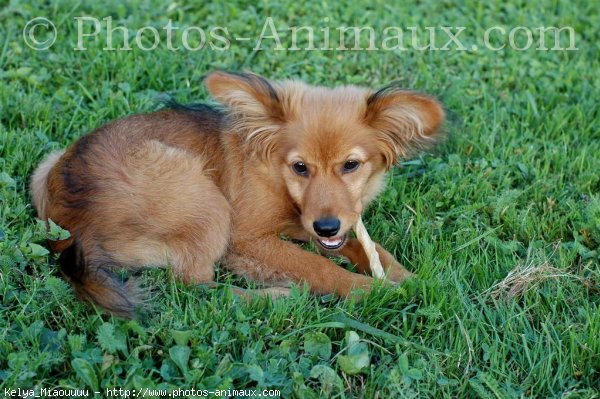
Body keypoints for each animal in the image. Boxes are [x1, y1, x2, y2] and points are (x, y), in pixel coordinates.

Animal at [31, 70, 446, 318]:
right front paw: (373, 291)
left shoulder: (316, 223)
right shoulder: (246, 239)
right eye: (300, 167)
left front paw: (408, 278)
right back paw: (280, 296)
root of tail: (69, 232)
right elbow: (318, 266)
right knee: (192, 286)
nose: (327, 228)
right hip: (204, 199)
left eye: (351, 165)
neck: (274, 172)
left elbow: (367, 247)